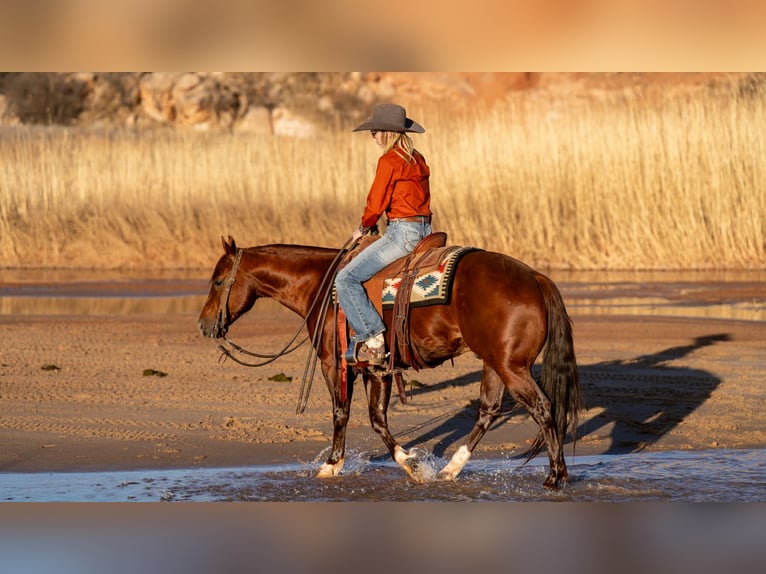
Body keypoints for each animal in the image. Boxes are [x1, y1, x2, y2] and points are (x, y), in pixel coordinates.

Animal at [198, 236, 581, 489]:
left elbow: (342, 414)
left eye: (218, 280)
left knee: (543, 408)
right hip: (495, 363)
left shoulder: (334, 364)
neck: (321, 285)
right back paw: (450, 470)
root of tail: (534, 278)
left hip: (511, 367)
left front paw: (331, 466)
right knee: (488, 411)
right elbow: (377, 419)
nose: (203, 324)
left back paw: (554, 476)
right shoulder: (376, 369)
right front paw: (411, 464)